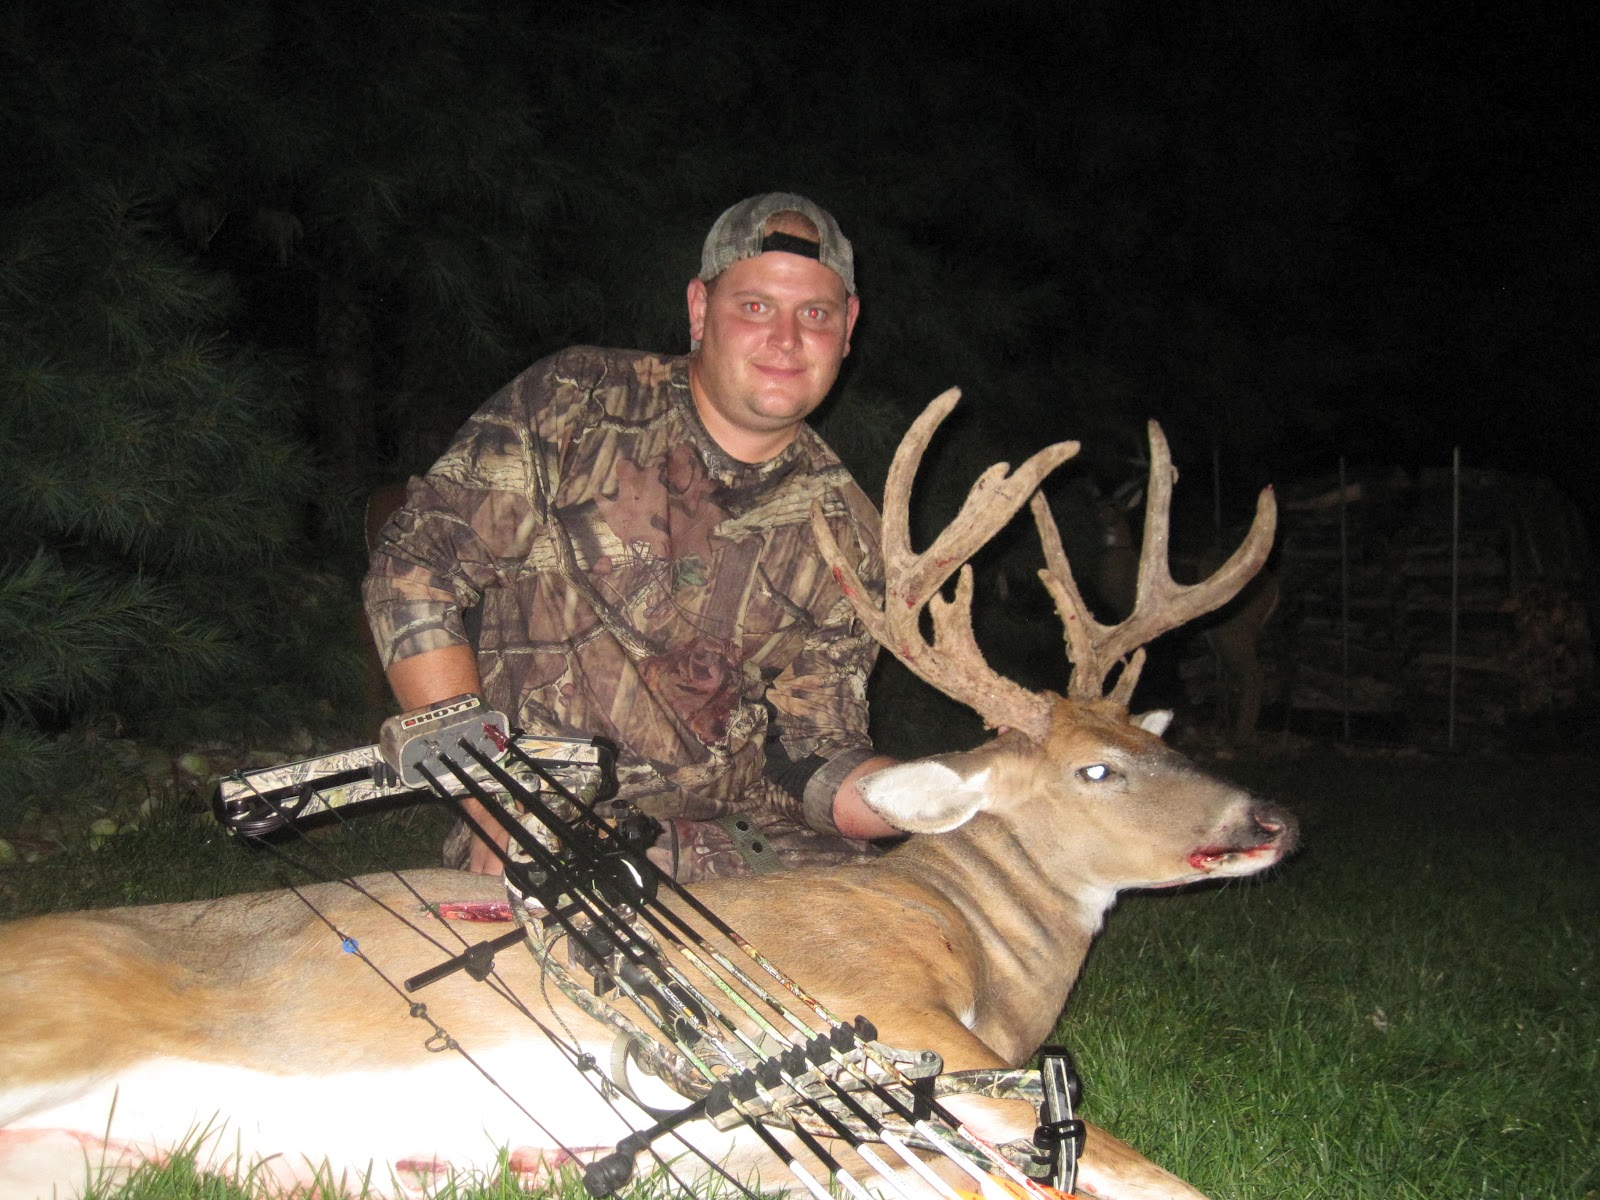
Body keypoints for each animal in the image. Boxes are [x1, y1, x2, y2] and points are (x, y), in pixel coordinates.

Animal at [0, 389, 1293, 1200]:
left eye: (1156, 741)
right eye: (1094, 770)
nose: (1271, 821)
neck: (968, 930)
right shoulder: (891, 1014)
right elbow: (1158, 1179)